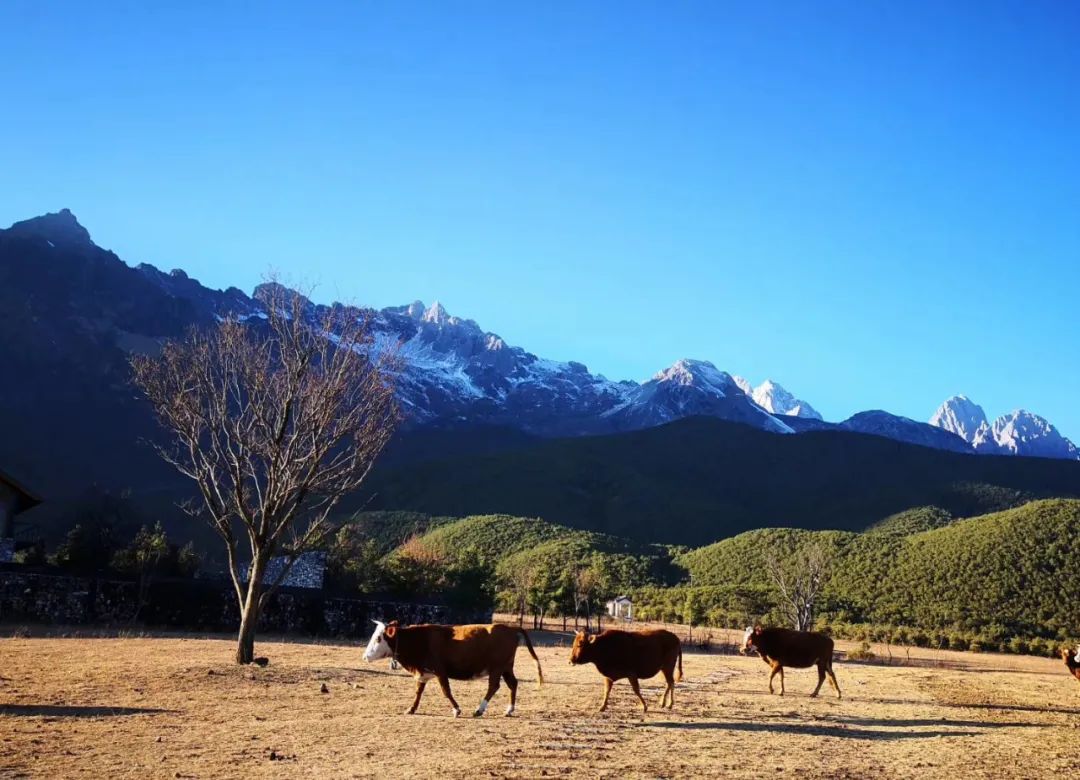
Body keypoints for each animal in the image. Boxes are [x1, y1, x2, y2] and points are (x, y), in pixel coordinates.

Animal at [362, 617, 544, 717]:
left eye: (378, 638)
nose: (365, 656)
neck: (419, 639)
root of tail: (511, 629)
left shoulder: (440, 671)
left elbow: (446, 691)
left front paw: (456, 710)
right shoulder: (423, 674)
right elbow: (418, 693)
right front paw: (411, 709)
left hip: (497, 668)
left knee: (494, 686)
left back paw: (479, 710)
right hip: (506, 667)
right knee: (513, 684)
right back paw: (509, 710)